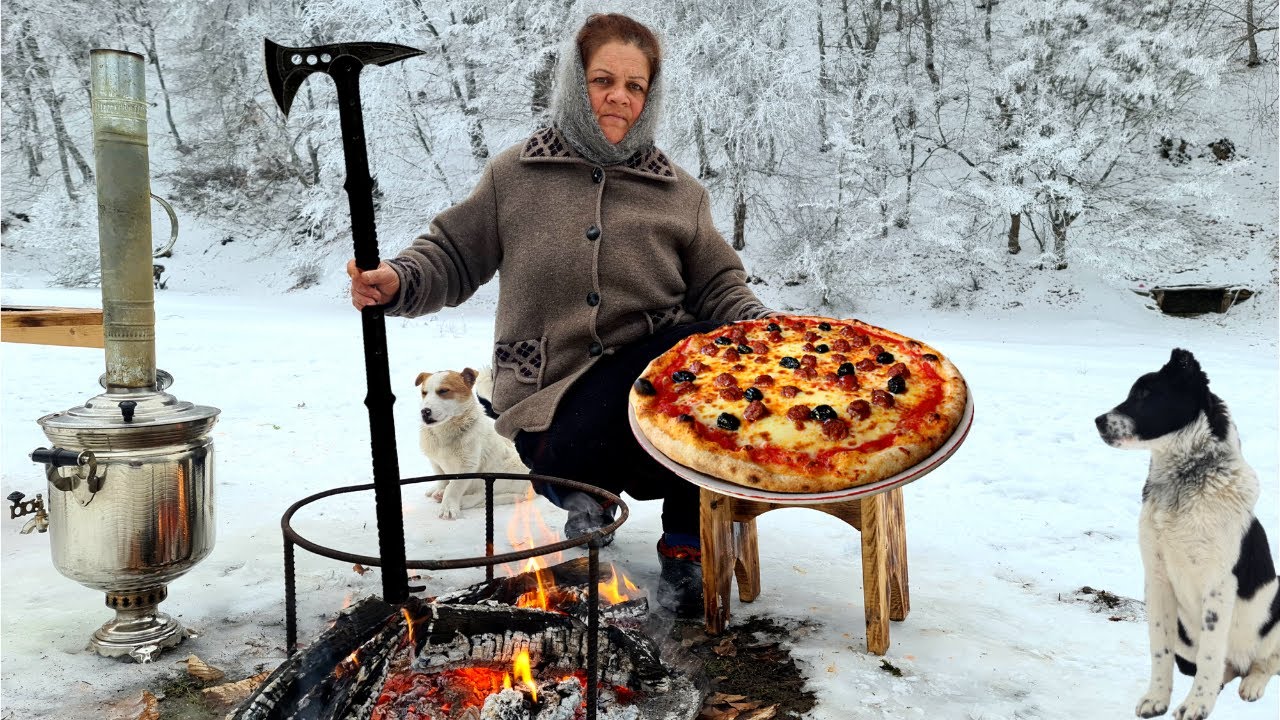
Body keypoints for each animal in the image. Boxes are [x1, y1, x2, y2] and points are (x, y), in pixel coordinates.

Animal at [412, 363, 527, 515]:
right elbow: (441, 478)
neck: (444, 434)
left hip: (501, 472)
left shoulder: (467, 466)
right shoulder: (435, 461)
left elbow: (454, 487)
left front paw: (448, 506)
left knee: (484, 495)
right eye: (424, 393)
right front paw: (440, 489)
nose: (424, 411)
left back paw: (463, 501)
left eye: (443, 391)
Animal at [1090, 345, 1280, 712]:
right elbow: (1160, 651)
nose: (1098, 421)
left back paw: (1252, 685)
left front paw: (1197, 707)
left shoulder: (1218, 584)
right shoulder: (1157, 579)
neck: (1186, 481)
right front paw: (1157, 699)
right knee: (1226, 666)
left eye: (1145, 394)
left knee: (1266, 661)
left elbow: (1210, 654)